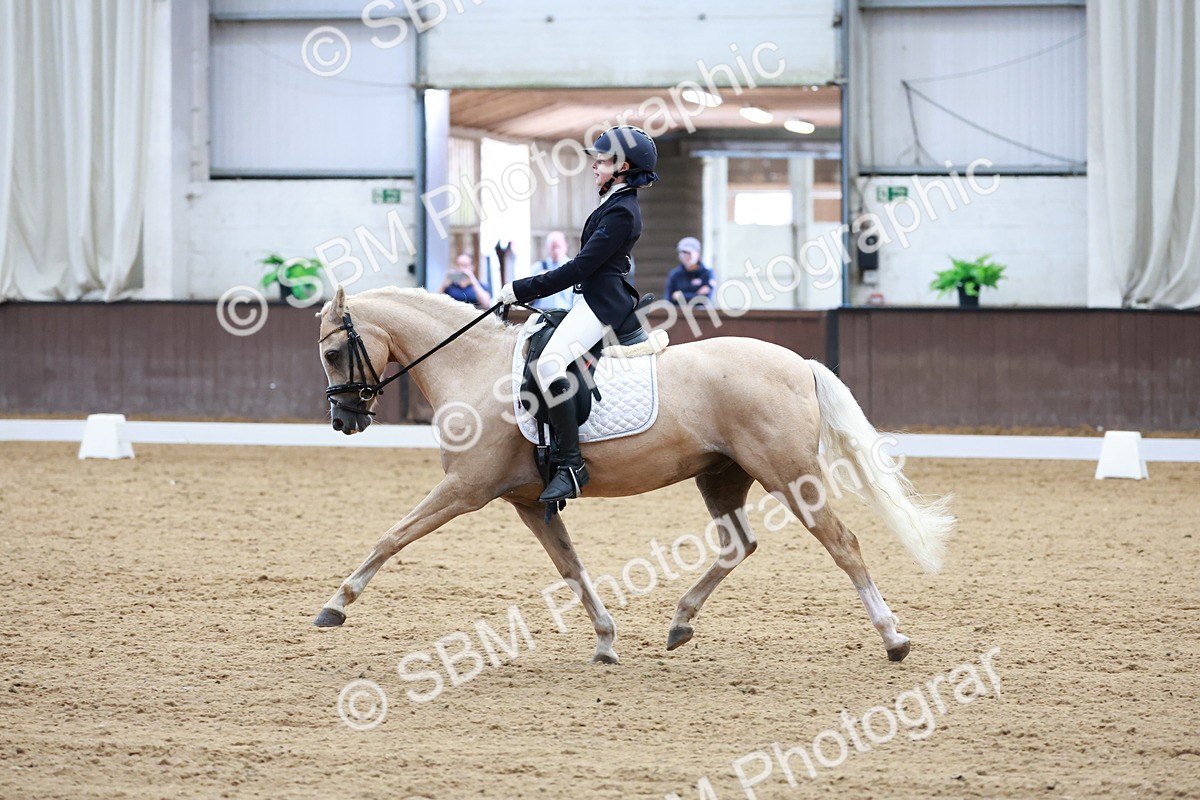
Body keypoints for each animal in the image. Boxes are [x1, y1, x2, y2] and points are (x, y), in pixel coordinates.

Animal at [313, 285, 954, 664]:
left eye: (332, 353)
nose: (345, 420)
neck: (472, 365)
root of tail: (799, 364)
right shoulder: (528, 502)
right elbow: (571, 569)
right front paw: (605, 640)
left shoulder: (465, 490)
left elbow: (392, 536)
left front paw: (336, 606)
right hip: (722, 476)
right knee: (738, 544)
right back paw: (680, 623)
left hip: (789, 475)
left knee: (842, 543)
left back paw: (894, 638)